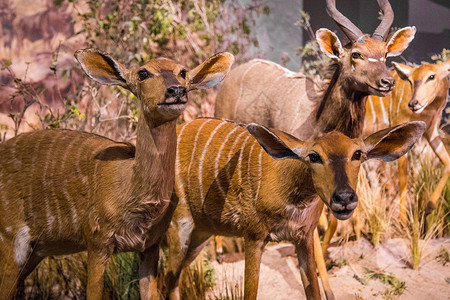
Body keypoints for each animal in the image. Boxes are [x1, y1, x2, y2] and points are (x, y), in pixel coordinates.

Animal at [0, 48, 234, 298]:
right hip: (12, 240)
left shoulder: (150, 245)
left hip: (34, 251)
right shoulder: (97, 241)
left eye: (182, 72)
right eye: (143, 73)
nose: (177, 91)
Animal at [163, 117, 424, 300]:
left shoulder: (304, 236)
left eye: (357, 154)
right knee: (163, 280)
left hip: (200, 234)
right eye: (314, 156)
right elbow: (250, 293)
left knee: (174, 278)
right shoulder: (254, 236)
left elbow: (314, 291)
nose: (344, 198)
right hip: (179, 225)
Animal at [366, 59, 450, 226]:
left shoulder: (430, 132)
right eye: (410, 81)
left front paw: (428, 208)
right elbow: (403, 174)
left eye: (432, 76)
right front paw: (403, 223)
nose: (413, 103)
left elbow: (447, 162)